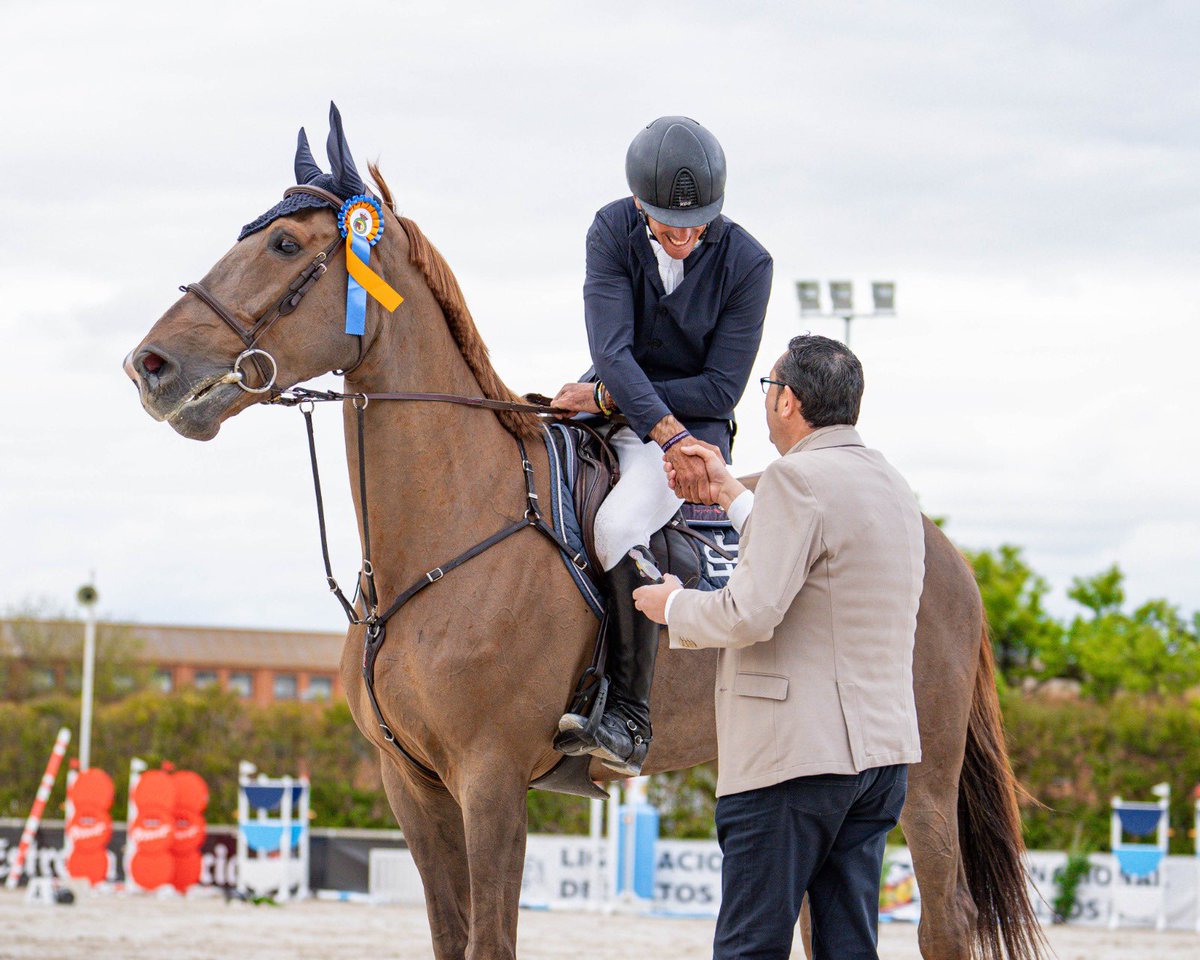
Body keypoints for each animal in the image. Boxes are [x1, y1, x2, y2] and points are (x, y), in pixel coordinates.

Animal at [119, 112, 1041, 960]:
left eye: (282, 244)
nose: (149, 367)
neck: (444, 535)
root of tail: (944, 549)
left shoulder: (490, 781)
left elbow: (491, 941)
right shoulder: (412, 785)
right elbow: (452, 937)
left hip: (920, 779)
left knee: (945, 921)